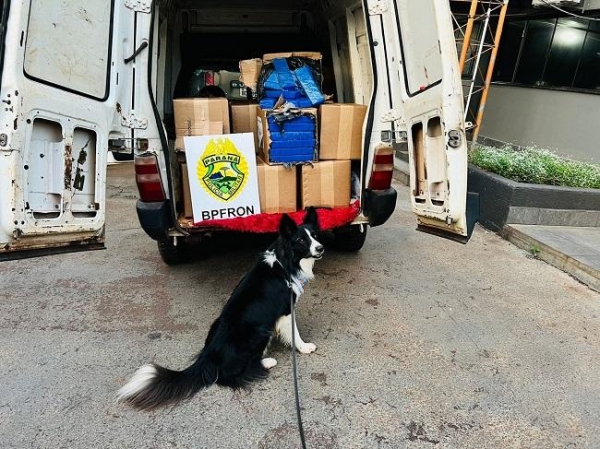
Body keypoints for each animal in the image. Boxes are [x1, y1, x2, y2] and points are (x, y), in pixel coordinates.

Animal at [117, 206, 324, 410]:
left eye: (315, 235)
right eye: (301, 240)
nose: (320, 248)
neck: (285, 262)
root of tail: (209, 356)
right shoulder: (286, 310)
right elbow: (294, 333)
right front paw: (304, 347)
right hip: (259, 331)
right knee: (229, 375)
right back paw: (266, 362)